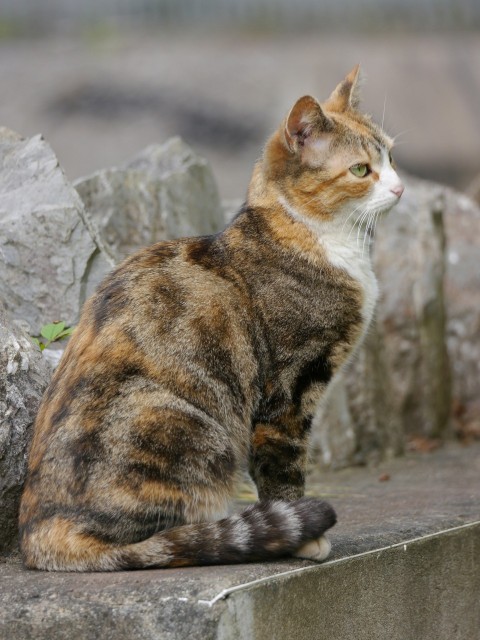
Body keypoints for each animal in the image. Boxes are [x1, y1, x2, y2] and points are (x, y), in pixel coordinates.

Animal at [19, 67, 402, 572]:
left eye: (391, 156)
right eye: (361, 170)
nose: (400, 187)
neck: (317, 237)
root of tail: (41, 534)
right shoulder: (288, 393)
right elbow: (284, 472)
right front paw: (303, 537)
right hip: (192, 428)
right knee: (159, 541)